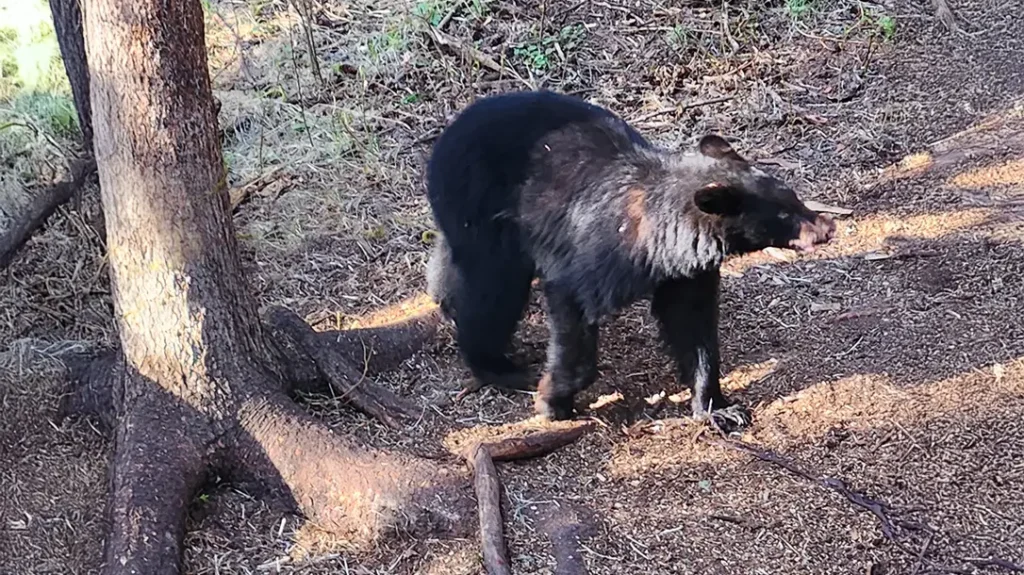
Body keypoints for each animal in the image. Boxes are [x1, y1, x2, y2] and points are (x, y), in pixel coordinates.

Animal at [425, 90, 834, 429]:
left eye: (793, 197)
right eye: (783, 215)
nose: (826, 227)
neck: (658, 239)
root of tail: (444, 138)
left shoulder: (685, 272)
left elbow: (693, 325)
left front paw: (718, 408)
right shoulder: (591, 255)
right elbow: (572, 307)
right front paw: (552, 401)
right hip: (482, 212)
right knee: (492, 291)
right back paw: (500, 366)